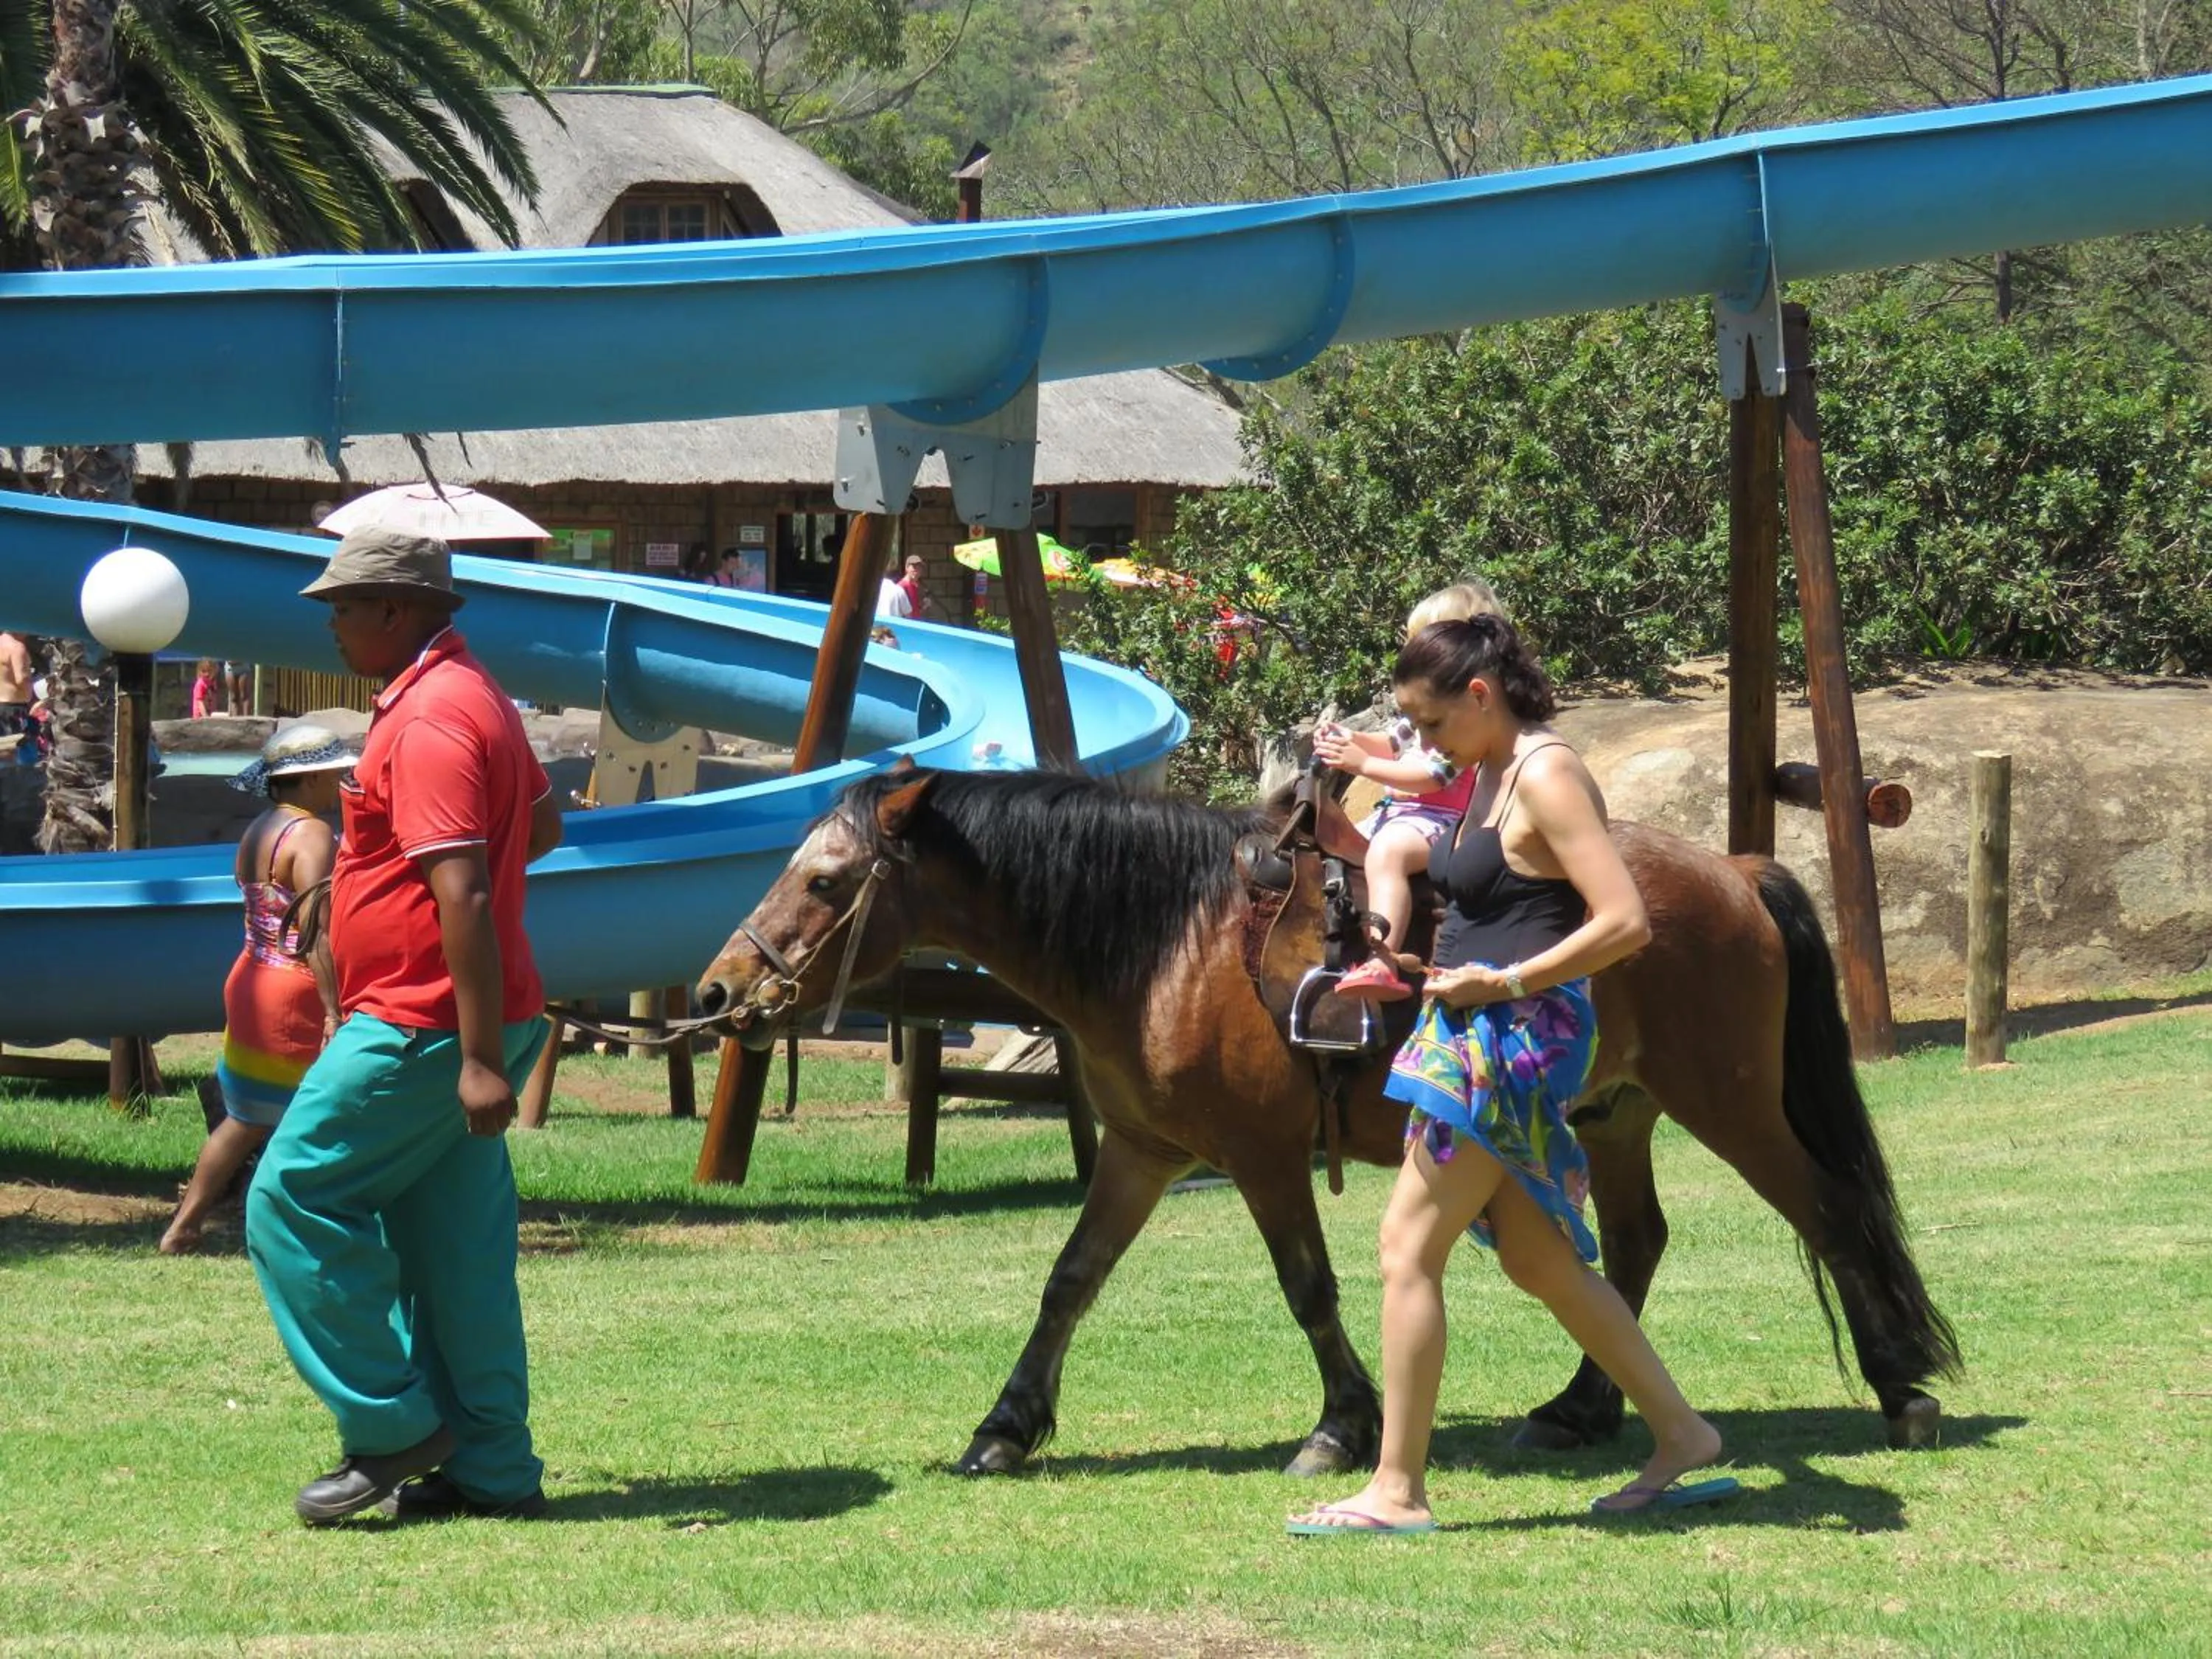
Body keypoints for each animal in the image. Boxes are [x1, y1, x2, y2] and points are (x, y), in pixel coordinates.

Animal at [695, 764, 1960, 1478]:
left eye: (824, 880)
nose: (719, 989)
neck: (1170, 939)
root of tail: (1738, 868)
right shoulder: (1143, 1153)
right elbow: (1069, 1281)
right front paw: (1005, 1427)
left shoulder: (1260, 1158)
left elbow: (1308, 1288)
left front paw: (1342, 1426)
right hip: (1616, 1114)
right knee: (1638, 1244)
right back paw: (1579, 1407)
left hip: (1733, 1101)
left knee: (1830, 1209)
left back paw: (1901, 1388)